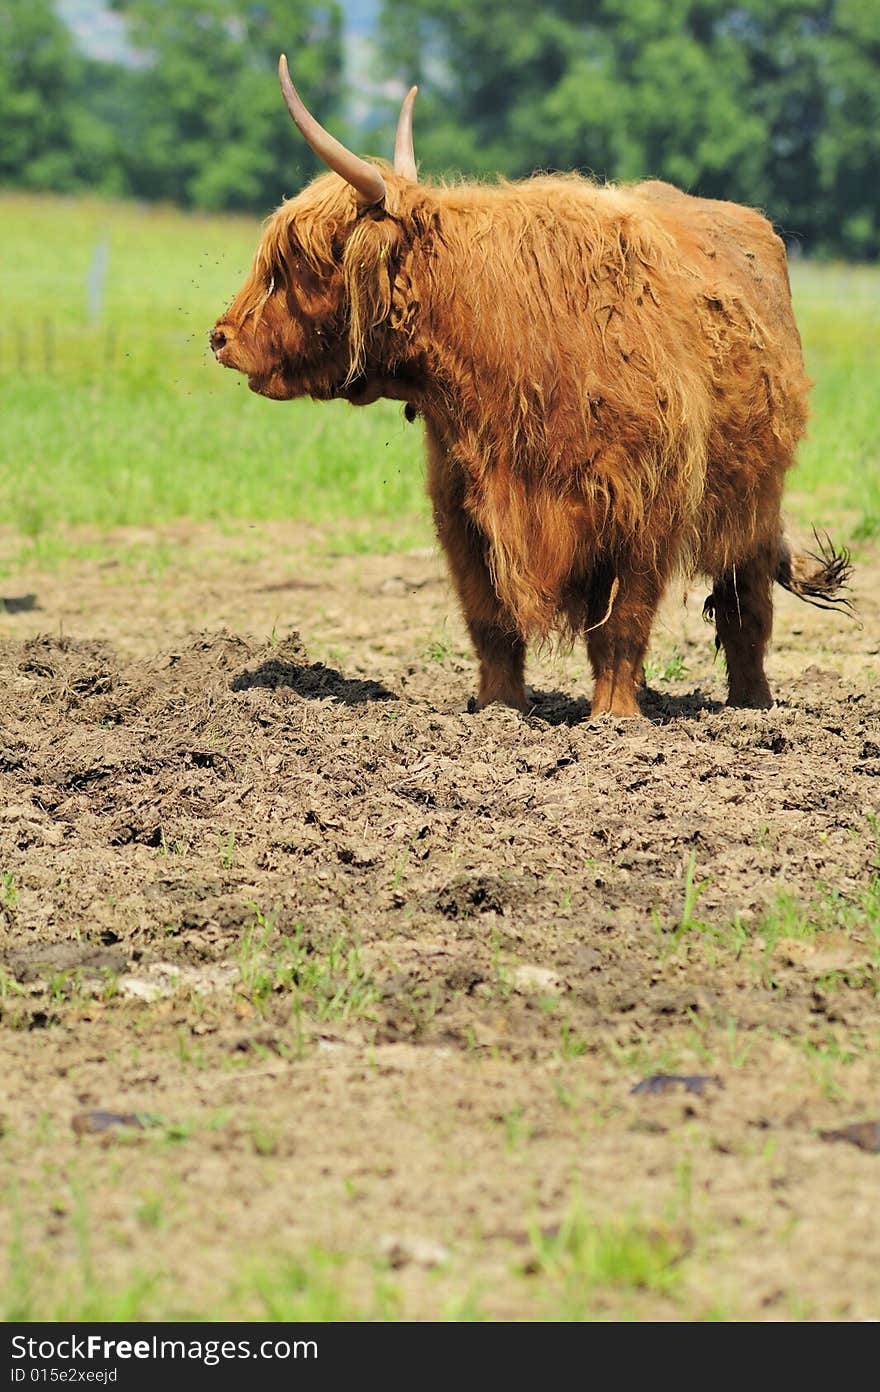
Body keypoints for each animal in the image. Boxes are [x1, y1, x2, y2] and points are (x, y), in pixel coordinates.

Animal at [210, 59, 846, 718]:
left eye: (298, 261)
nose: (221, 336)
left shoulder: (647, 504)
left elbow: (623, 623)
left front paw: (613, 719)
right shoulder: (463, 506)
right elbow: (491, 621)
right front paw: (498, 711)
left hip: (756, 499)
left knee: (747, 609)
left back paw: (753, 707)